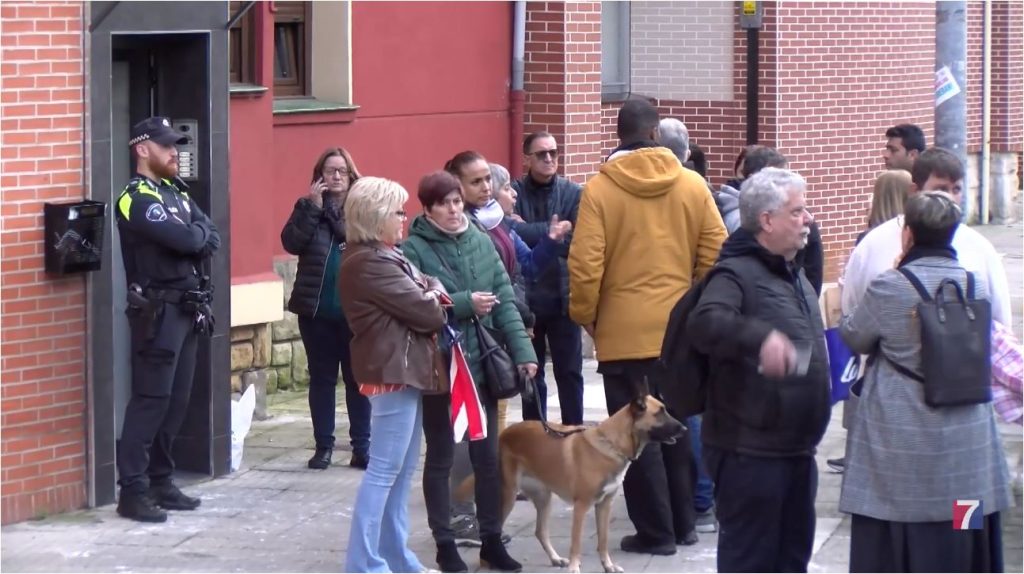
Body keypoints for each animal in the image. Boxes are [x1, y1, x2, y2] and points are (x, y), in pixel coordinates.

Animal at [495, 392, 679, 572]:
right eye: (659, 413)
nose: (683, 429)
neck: (612, 444)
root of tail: (503, 434)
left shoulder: (604, 505)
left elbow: (603, 540)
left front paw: (608, 565)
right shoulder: (581, 506)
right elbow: (576, 543)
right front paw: (574, 567)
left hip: (544, 499)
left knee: (540, 531)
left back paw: (555, 559)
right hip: (508, 496)